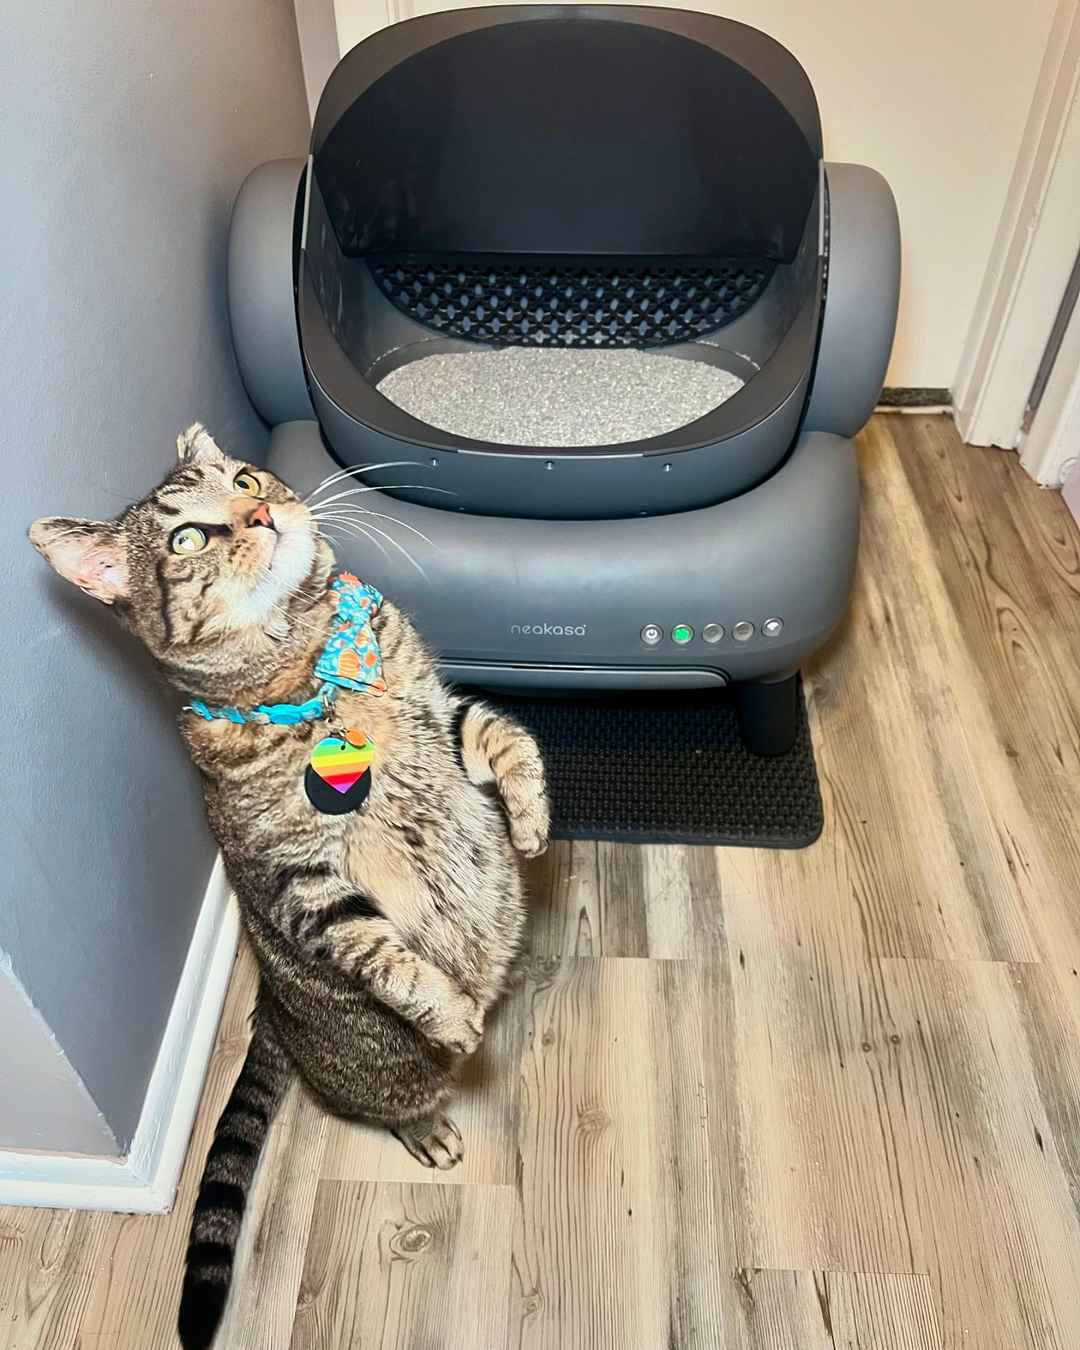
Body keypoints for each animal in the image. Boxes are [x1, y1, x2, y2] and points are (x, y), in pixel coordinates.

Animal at [29, 424, 550, 1350]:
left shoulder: (438, 709)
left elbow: (499, 731)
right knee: (398, 1099)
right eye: (186, 538)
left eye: (243, 479)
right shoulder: (302, 883)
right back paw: (433, 1117)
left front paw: (528, 819)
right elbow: (387, 957)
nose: (263, 511)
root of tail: (268, 1010)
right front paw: (448, 1008)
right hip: (387, 1066)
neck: (316, 672)